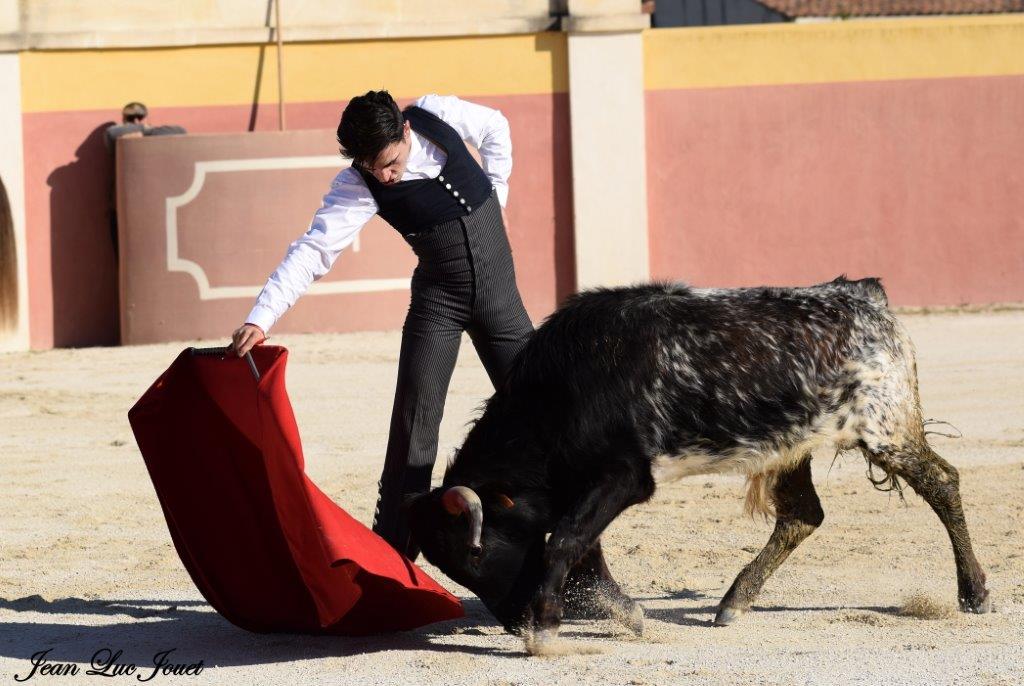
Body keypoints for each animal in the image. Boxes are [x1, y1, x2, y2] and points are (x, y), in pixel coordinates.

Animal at [407, 278, 991, 651]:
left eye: (477, 554)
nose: (512, 623)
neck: (565, 386)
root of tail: (863, 294)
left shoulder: (624, 476)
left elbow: (566, 539)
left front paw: (547, 631)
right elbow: (575, 541)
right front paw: (611, 612)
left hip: (886, 428)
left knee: (943, 482)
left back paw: (975, 593)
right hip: (792, 445)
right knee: (803, 515)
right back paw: (734, 602)